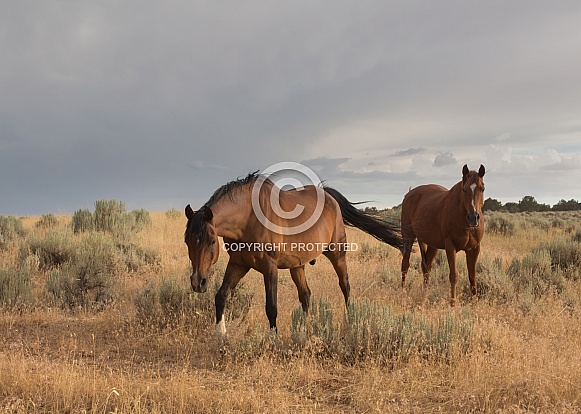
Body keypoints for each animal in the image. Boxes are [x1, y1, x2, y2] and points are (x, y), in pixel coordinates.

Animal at [184, 173, 402, 334]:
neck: (249, 218)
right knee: (305, 295)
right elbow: (220, 296)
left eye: (212, 241)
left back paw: (351, 321)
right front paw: (220, 336)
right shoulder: (238, 264)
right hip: (297, 265)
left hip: (338, 255)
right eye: (187, 241)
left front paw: (273, 340)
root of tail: (329, 197)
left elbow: (271, 307)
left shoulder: (269, 267)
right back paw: (303, 330)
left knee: (345, 286)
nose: (197, 282)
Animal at [398, 164, 484, 304]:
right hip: (408, 237)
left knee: (426, 266)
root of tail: (409, 194)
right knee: (405, 264)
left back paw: (426, 293)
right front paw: (453, 302)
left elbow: (472, 276)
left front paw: (474, 302)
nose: (473, 218)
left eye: (482, 189)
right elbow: (454, 275)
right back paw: (403, 291)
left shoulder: (474, 249)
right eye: (464, 189)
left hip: (433, 245)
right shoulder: (450, 247)